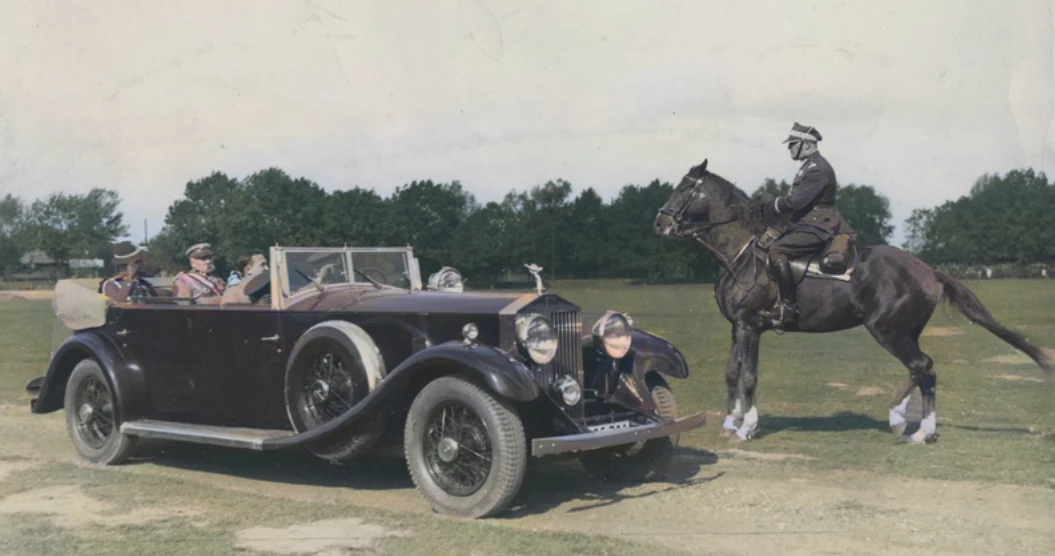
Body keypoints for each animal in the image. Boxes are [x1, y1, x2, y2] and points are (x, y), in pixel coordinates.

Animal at [654, 159, 1050, 441]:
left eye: (684, 188)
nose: (659, 224)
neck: (742, 252)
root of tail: (927, 270)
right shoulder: (739, 327)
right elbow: (732, 372)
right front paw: (731, 420)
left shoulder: (751, 326)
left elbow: (749, 376)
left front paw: (747, 425)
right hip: (906, 332)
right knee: (926, 370)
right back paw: (923, 430)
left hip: (888, 331)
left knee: (920, 365)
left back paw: (898, 418)